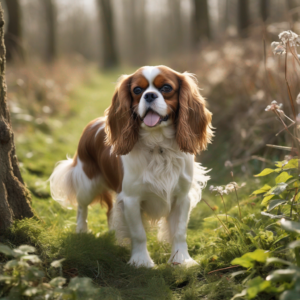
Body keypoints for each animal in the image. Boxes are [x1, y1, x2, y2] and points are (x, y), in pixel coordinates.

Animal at [49, 65, 212, 268]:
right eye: (137, 90)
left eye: (166, 88)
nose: (149, 95)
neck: (158, 146)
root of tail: (93, 123)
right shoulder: (131, 199)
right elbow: (139, 234)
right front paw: (141, 261)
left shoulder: (182, 197)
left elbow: (180, 232)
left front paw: (182, 260)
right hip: (87, 183)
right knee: (82, 207)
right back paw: (81, 231)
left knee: (110, 210)